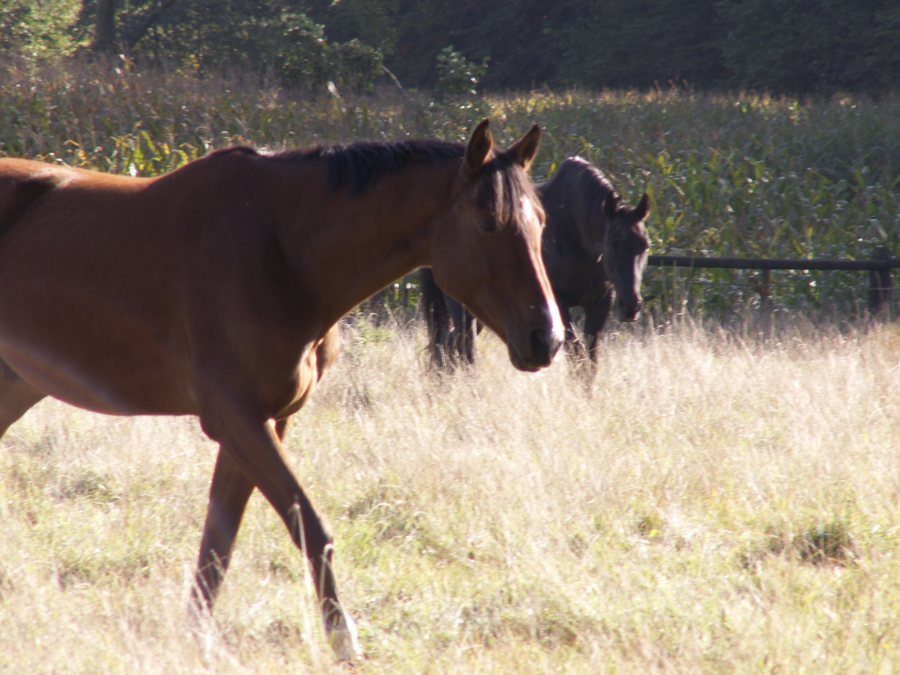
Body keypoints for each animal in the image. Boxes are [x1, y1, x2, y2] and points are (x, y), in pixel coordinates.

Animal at [0, 120, 563, 660]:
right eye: (489, 222)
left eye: (541, 223)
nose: (549, 338)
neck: (281, 249)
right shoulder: (236, 419)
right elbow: (309, 528)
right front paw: (342, 639)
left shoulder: (265, 421)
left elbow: (219, 542)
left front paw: (197, 639)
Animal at [422, 156, 649, 370]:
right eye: (613, 243)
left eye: (645, 246)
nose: (631, 306)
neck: (573, 231)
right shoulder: (558, 304)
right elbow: (576, 354)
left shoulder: (600, 303)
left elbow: (589, 362)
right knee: (463, 347)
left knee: (448, 346)